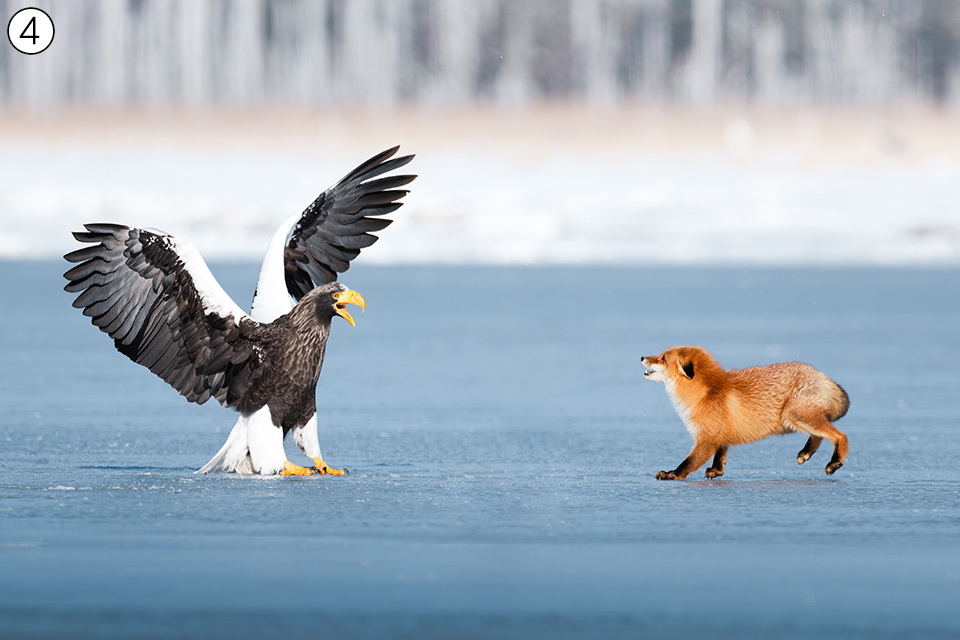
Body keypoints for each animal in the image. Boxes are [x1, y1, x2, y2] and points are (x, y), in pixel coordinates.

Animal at [640, 344, 852, 480]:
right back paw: (806, 453)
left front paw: (672, 474)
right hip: (797, 419)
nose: (642, 357)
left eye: (662, 358)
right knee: (820, 435)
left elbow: (688, 462)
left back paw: (835, 462)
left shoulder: (707, 438)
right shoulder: (720, 433)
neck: (705, 392)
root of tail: (819, 374)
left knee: (840, 435)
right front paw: (716, 471)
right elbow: (721, 453)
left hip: (794, 416)